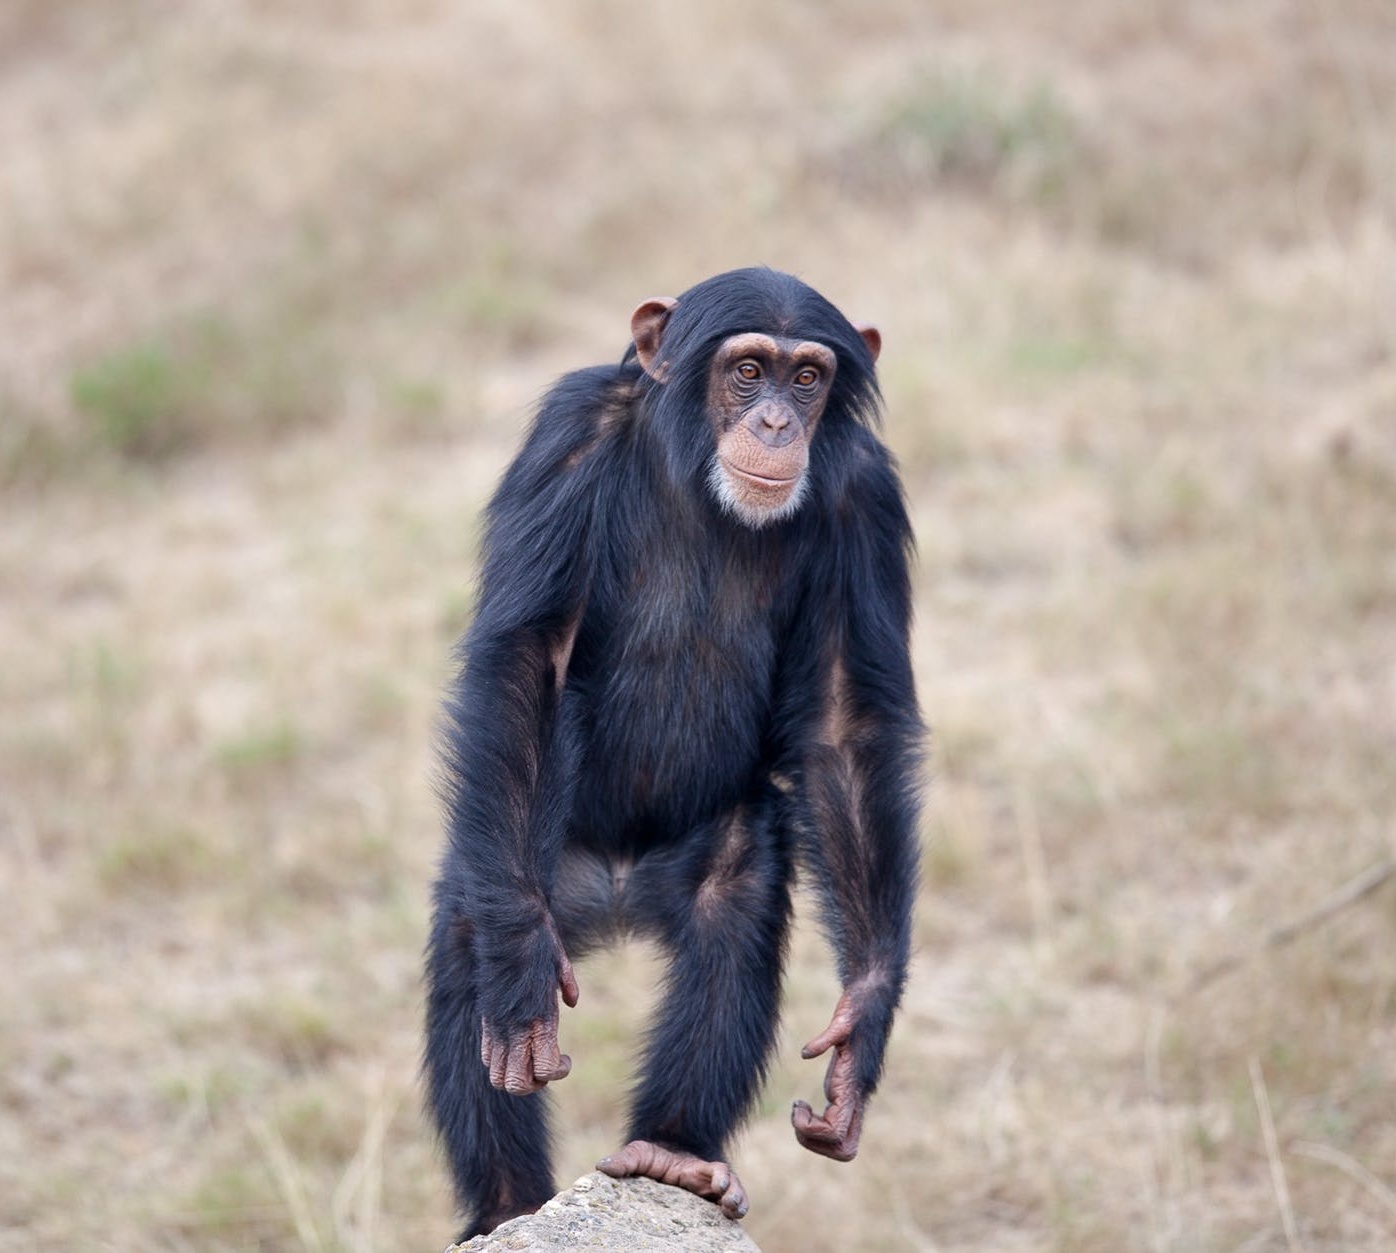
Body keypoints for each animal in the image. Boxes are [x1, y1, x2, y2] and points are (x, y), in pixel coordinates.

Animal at [427, 267, 926, 1233]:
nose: (775, 422)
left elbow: (845, 720)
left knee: (738, 909)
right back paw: (507, 1203)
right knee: (475, 918)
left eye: (807, 378)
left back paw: (674, 1151)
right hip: (541, 868)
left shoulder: (867, 497)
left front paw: (863, 1028)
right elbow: (530, 657)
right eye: (747, 370)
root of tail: (618, 898)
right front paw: (515, 970)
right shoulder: (568, 440)